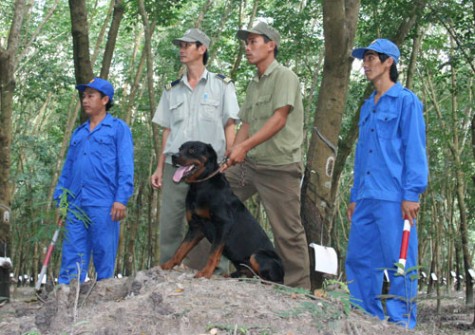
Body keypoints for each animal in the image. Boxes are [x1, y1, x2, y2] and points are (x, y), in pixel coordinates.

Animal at [160, 140, 286, 284]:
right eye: (180, 148)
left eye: (193, 150)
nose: (173, 156)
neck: (201, 185)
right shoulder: (196, 227)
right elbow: (181, 249)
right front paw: (167, 264)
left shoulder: (223, 224)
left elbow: (213, 253)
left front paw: (205, 273)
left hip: (257, 255)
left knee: (271, 280)